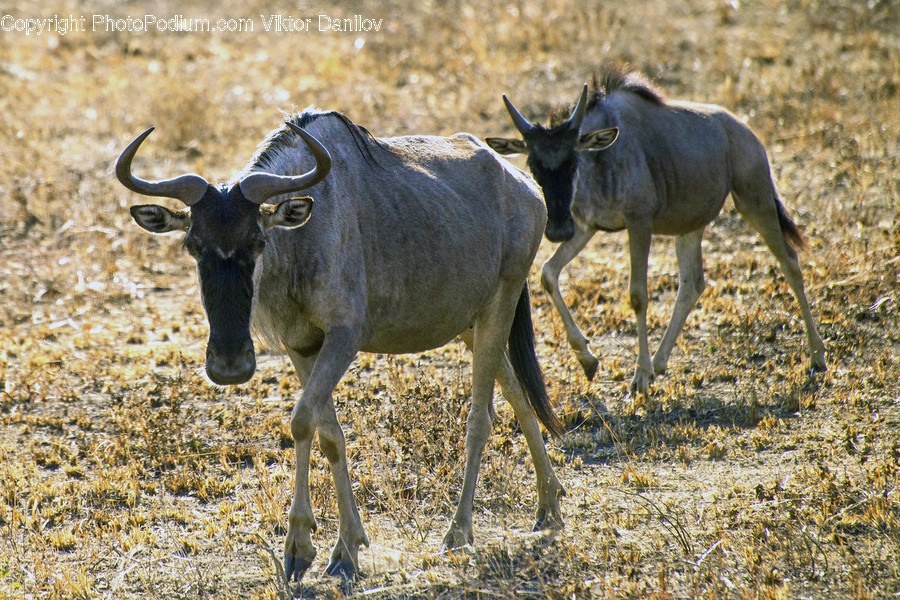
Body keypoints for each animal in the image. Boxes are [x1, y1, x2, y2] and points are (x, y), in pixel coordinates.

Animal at [116, 110, 566, 583]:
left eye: (257, 241)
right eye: (193, 245)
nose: (229, 367)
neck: (302, 238)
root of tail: (525, 187)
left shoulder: (344, 338)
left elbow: (300, 421)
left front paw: (300, 544)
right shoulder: (302, 346)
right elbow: (329, 433)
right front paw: (347, 546)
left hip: (502, 300)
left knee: (481, 417)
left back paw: (459, 532)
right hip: (471, 322)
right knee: (517, 392)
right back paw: (549, 505)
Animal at [486, 64, 827, 395]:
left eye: (573, 160)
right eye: (533, 165)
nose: (556, 229)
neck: (602, 159)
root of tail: (746, 132)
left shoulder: (639, 222)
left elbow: (638, 295)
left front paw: (638, 375)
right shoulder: (586, 227)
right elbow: (548, 273)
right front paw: (587, 358)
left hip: (755, 200)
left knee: (790, 263)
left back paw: (817, 355)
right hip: (690, 226)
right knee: (692, 283)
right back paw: (660, 363)